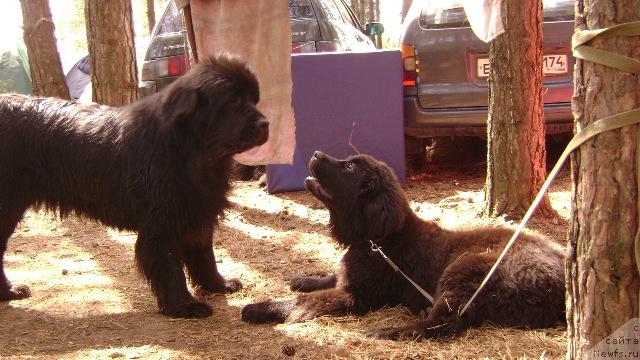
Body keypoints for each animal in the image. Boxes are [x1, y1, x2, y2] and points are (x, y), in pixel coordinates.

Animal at [0, 52, 268, 318]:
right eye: (233, 101)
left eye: (254, 99)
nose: (266, 123)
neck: (187, 150)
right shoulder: (163, 225)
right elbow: (170, 267)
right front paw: (184, 306)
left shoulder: (198, 212)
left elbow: (204, 254)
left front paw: (218, 285)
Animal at [241, 152, 564, 340]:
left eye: (349, 167)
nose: (316, 153)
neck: (378, 240)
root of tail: (559, 288)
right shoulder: (350, 276)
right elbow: (329, 276)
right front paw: (304, 279)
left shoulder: (353, 296)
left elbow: (302, 302)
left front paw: (259, 307)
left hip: (464, 267)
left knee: (445, 324)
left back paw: (386, 331)